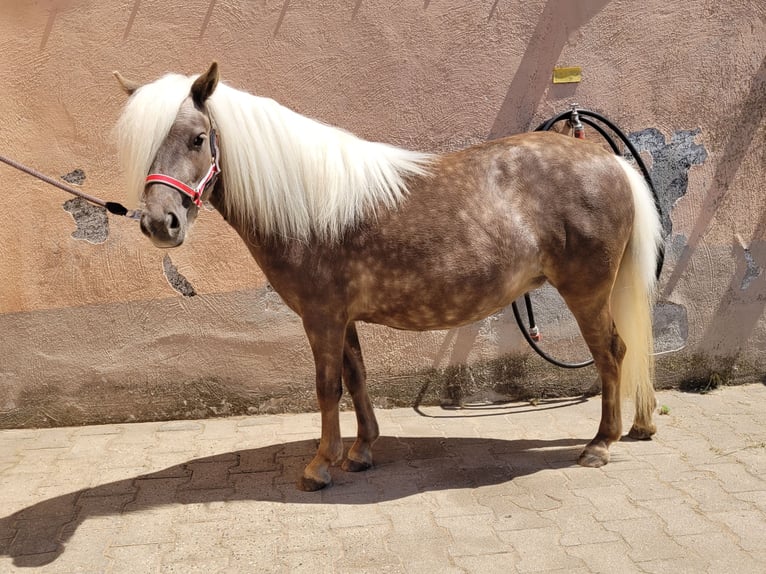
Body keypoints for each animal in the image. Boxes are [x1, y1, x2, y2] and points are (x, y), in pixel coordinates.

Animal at [114, 62, 663, 491]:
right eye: (145, 146)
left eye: (197, 138)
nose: (160, 223)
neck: (311, 206)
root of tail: (609, 160)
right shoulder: (342, 317)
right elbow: (356, 377)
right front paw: (360, 452)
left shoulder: (321, 317)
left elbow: (326, 386)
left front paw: (320, 465)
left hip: (587, 291)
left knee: (612, 353)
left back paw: (601, 444)